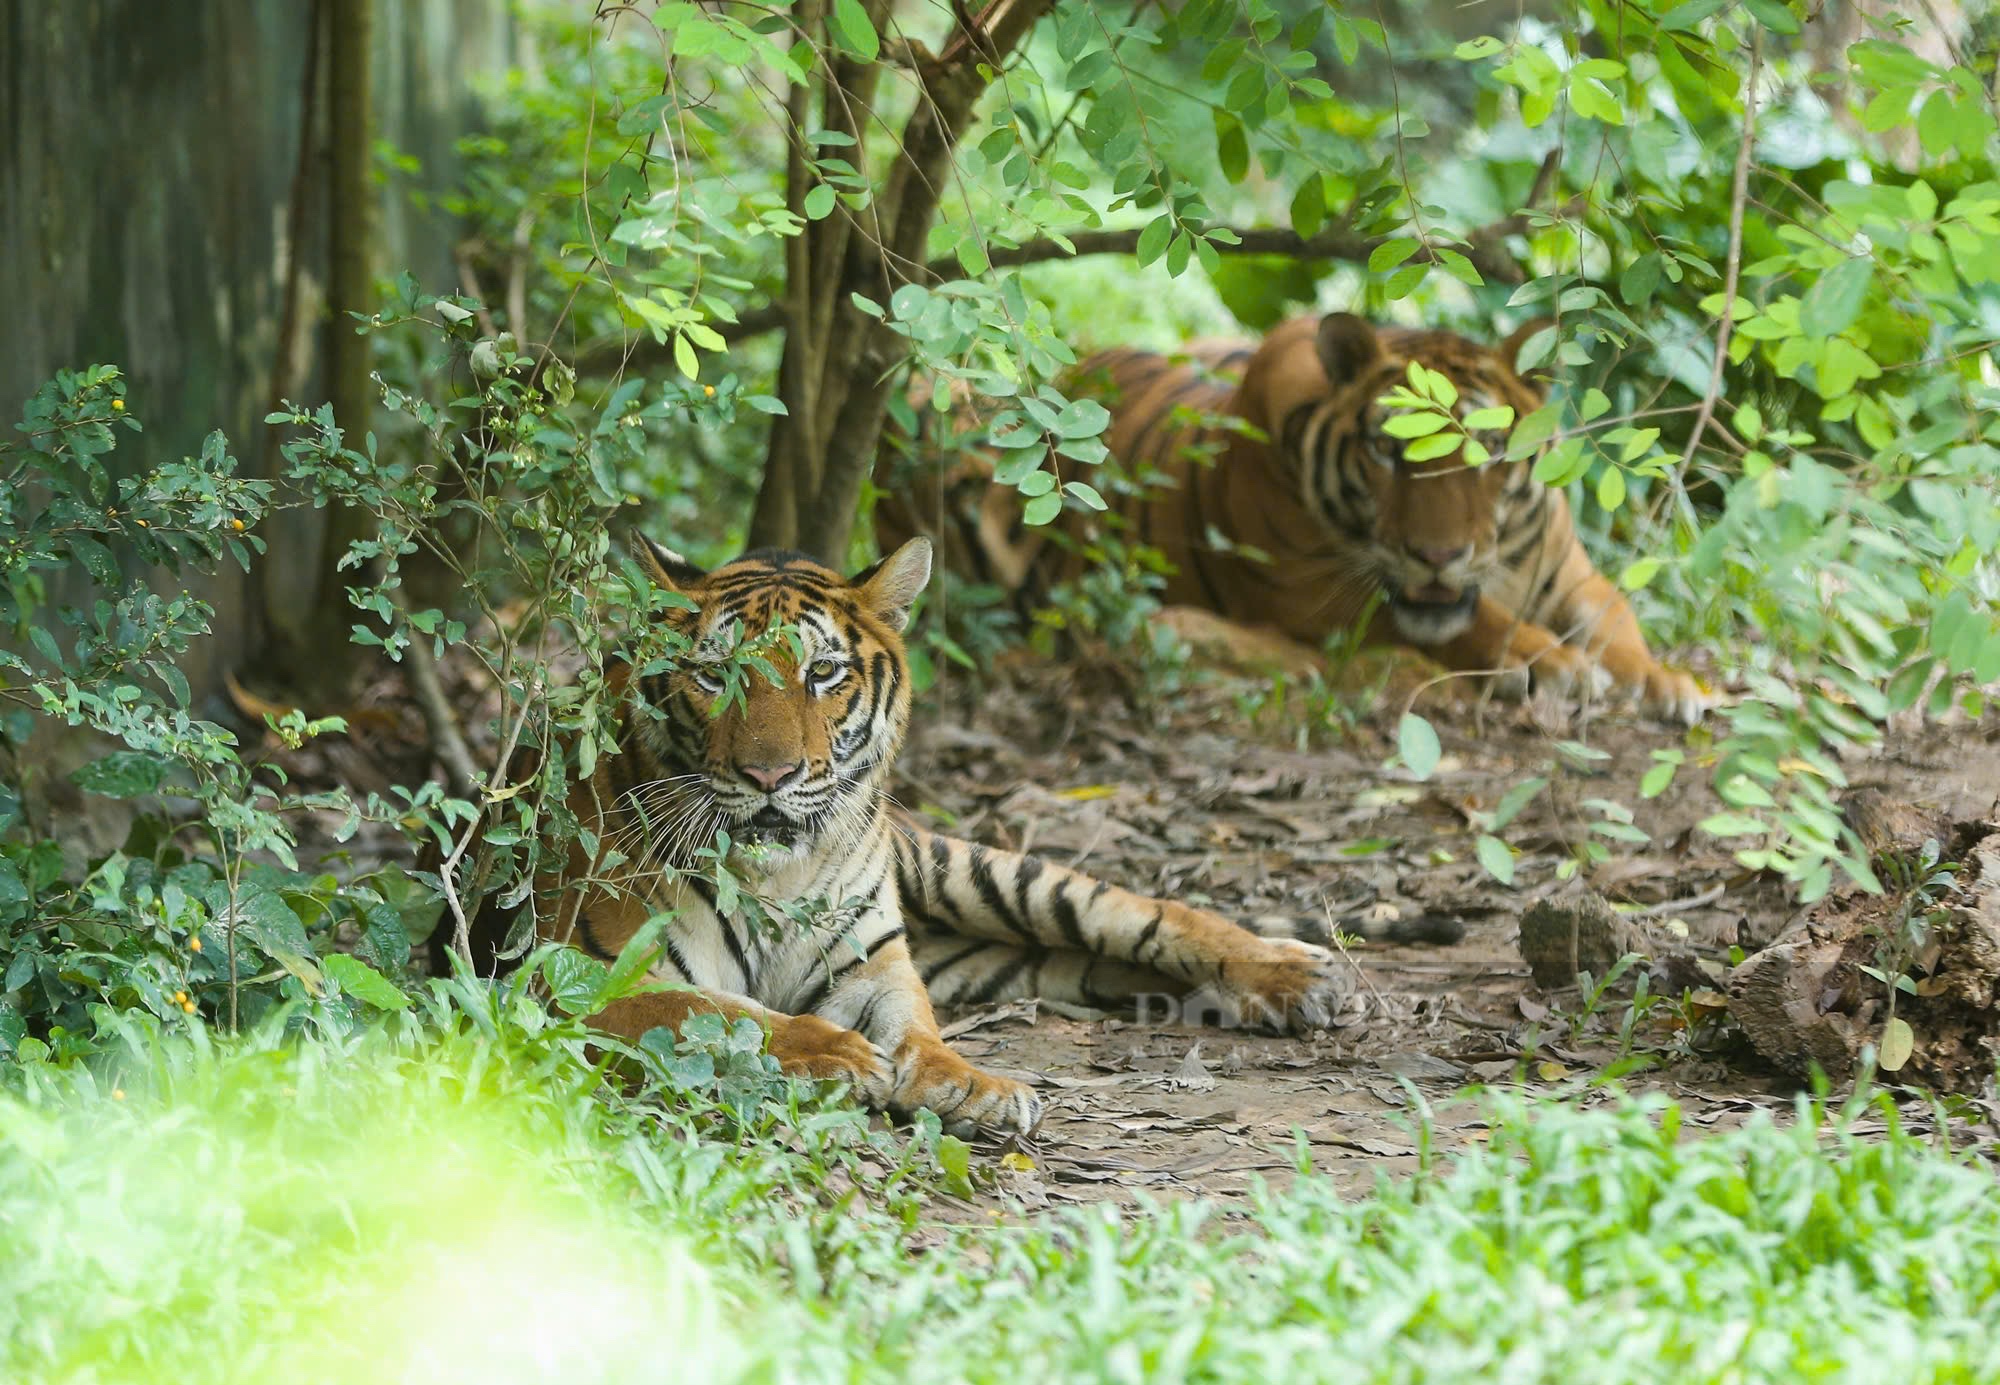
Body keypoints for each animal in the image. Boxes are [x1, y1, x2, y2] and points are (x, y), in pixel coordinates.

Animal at [450, 536, 1440, 1128]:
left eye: (822, 673)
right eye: (712, 675)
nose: (770, 777)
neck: (778, 877)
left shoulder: (875, 966)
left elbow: (917, 1029)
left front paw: (971, 1082)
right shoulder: (571, 982)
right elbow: (709, 1011)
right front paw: (832, 1054)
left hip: (977, 874)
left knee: (1144, 912)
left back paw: (1293, 975)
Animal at [884, 314, 1712, 724]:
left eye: (1486, 451)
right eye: (1387, 451)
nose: (1438, 555)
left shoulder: (1572, 574)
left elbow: (1618, 618)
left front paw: (1669, 682)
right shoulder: (1314, 595)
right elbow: (1460, 624)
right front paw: (1552, 663)